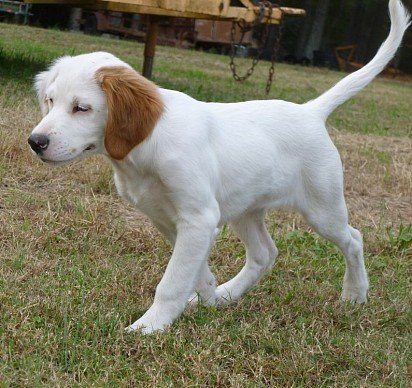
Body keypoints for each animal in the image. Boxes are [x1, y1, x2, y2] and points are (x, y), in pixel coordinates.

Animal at [28, 0, 408, 334]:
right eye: (50, 100)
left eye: (82, 108)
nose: (36, 141)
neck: (145, 147)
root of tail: (310, 111)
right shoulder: (168, 218)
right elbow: (195, 270)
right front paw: (208, 296)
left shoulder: (198, 217)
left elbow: (173, 280)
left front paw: (150, 326)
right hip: (246, 207)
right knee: (264, 254)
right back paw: (228, 294)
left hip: (322, 207)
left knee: (353, 239)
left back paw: (355, 294)